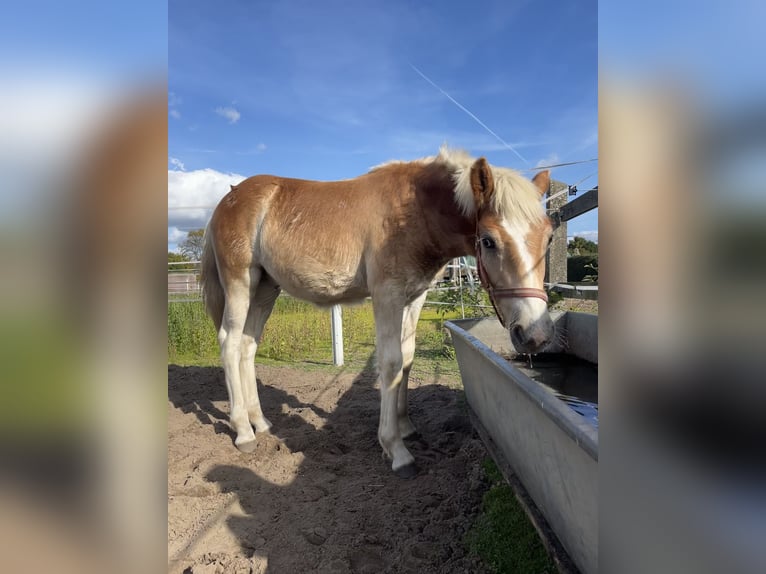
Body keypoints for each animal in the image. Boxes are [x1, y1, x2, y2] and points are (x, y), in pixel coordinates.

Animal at [201, 146, 556, 480]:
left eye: (549, 237)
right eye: (488, 240)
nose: (536, 334)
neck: (415, 211)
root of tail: (229, 198)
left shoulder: (414, 297)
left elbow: (408, 357)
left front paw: (406, 426)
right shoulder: (387, 296)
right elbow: (391, 363)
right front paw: (396, 449)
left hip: (265, 289)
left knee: (247, 346)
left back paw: (260, 422)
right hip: (240, 283)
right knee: (229, 343)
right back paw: (243, 432)